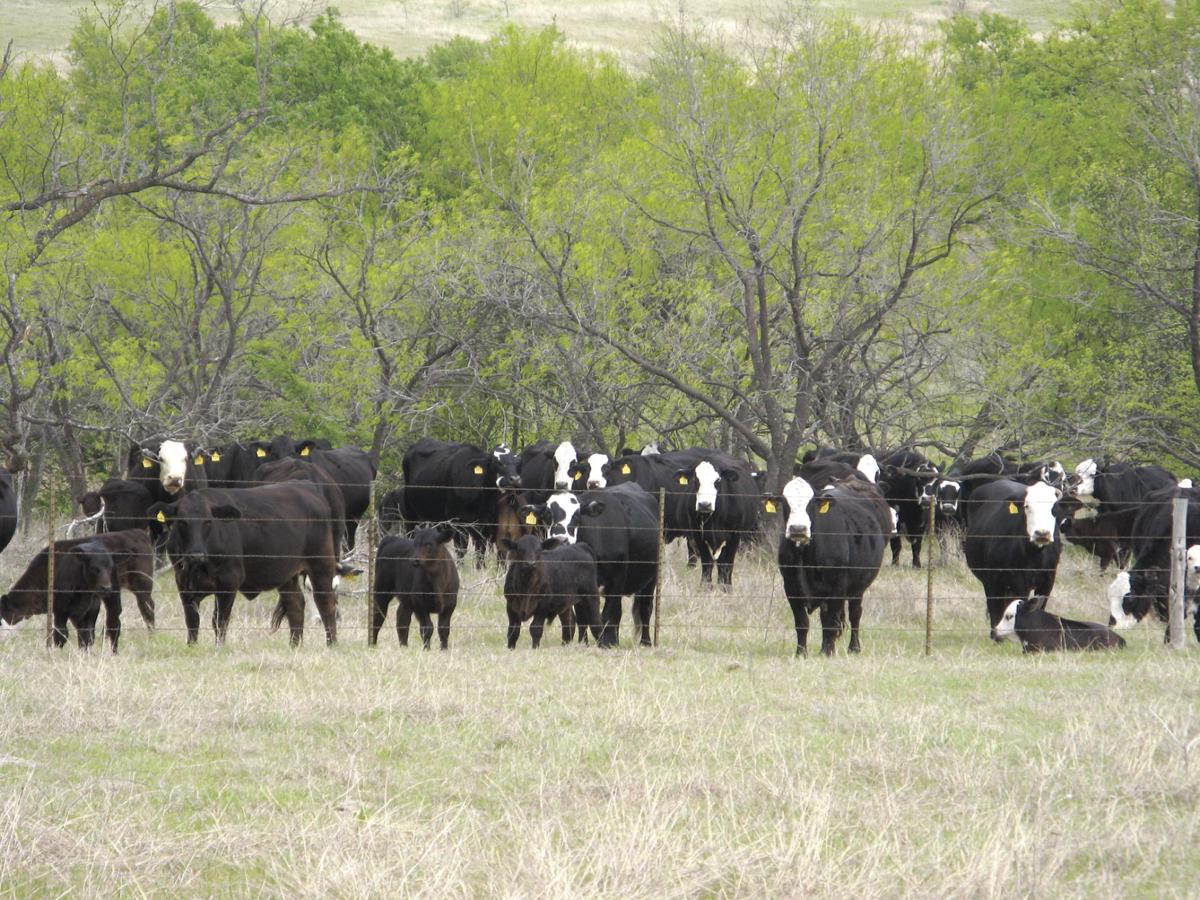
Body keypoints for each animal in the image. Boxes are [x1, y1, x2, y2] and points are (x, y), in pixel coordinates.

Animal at [0, 529, 156, 650]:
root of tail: (139, 533)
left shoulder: (62, 610)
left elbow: (62, 635)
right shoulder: (75, 611)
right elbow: (83, 635)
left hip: (140, 585)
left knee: (143, 610)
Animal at [150, 483, 342, 646]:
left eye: (208, 521)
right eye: (182, 522)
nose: (196, 555)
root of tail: (306, 488)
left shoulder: (228, 582)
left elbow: (219, 621)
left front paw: (219, 648)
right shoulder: (183, 583)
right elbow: (192, 621)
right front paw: (192, 646)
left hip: (321, 564)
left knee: (326, 603)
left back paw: (331, 644)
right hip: (286, 574)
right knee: (295, 604)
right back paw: (294, 646)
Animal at [523, 482, 658, 648]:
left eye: (576, 515)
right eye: (547, 515)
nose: (561, 540)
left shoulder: (616, 580)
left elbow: (606, 616)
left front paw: (603, 644)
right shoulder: (579, 582)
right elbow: (583, 617)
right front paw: (584, 643)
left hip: (651, 579)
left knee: (645, 609)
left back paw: (645, 642)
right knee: (619, 613)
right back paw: (615, 641)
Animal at [769, 475, 890, 656]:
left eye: (811, 502)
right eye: (785, 501)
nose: (798, 528)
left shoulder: (837, 587)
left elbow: (830, 622)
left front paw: (827, 652)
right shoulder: (791, 587)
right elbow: (802, 622)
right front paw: (801, 653)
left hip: (858, 587)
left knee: (855, 614)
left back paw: (854, 648)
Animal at [963, 479, 1063, 638]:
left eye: (1054, 508)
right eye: (1027, 506)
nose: (1042, 533)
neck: (1033, 554)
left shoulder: (1048, 581)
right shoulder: (997, 580)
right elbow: (998, 609)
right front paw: (997, 636)